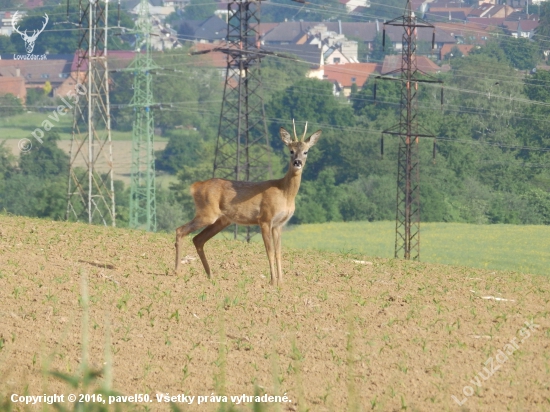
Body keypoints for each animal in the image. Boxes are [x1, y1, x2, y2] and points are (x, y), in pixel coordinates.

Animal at [176, 120, 324, 284]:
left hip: (222, 220)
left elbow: (279, 252)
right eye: (291, 151)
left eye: (306, 152)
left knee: (197, 239)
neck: (284, 193)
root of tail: (195, 186)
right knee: (180, 230)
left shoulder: (278, 224)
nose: (298, 162)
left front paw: (281, 282)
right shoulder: (265, 218)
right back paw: (177, 272)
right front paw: (273, 281)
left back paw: (210, 275)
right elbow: (269, 251)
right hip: (207, 213)